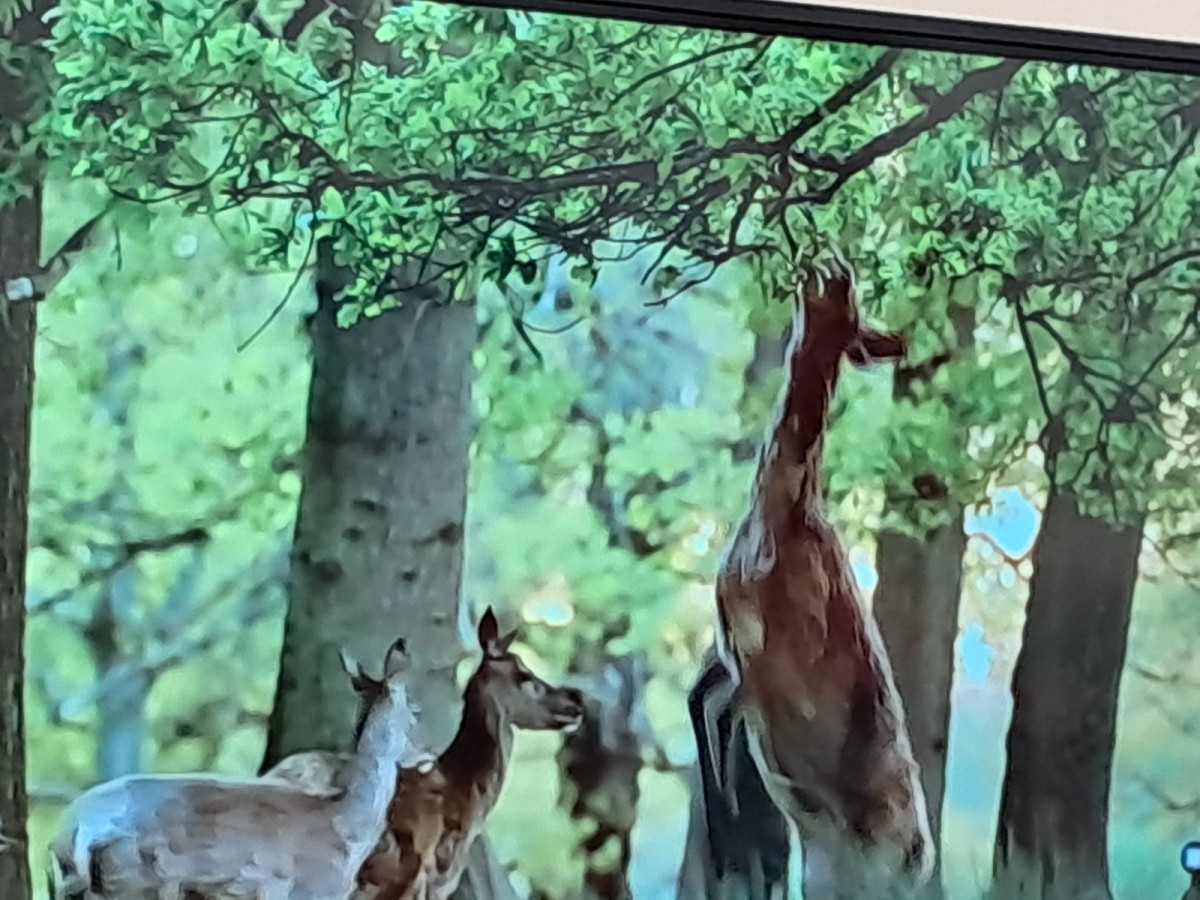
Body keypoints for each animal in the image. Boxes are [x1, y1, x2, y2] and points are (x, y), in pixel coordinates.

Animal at [694, 255, 933, 900]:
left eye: (848, 307)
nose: (834, 264)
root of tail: (923, 860)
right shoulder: (730, 647)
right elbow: (702, 703)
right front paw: (732, 848)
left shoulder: (770, 662)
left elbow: (716, 712)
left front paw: (733, 845)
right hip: (831, 879)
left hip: (875, 872)